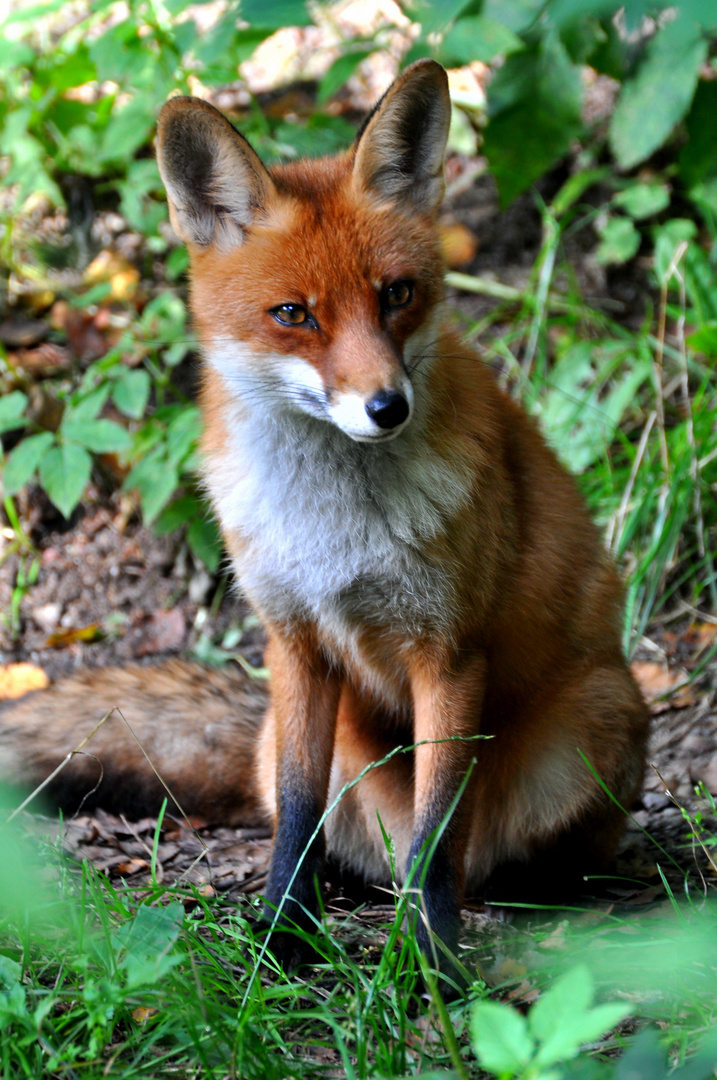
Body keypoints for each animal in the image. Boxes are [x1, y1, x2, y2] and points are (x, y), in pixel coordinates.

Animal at [0, 56, 647, 989]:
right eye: (294, 315)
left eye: (397, 295)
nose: (386, 407)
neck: (332, 531)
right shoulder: (294, 641)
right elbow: (299, 813)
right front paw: (282, 935)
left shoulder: (449, 651)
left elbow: (437, 826)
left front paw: (427, 962)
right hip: (294, 736)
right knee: (329, 827)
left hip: (590, 721)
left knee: (486, 854)